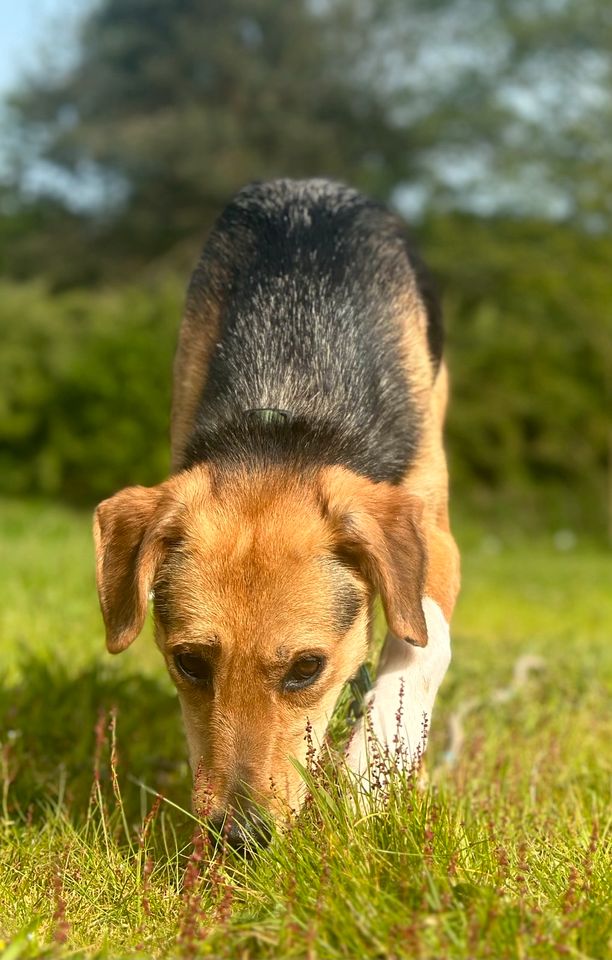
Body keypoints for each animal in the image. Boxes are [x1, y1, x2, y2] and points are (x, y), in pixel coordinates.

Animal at [93, 178, 460, 848]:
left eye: (307, 668)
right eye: (189, 662)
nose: (238, 838)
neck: (290, 418)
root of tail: (310, 184)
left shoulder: (434, 534)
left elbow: (420, 647)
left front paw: (366, 784)